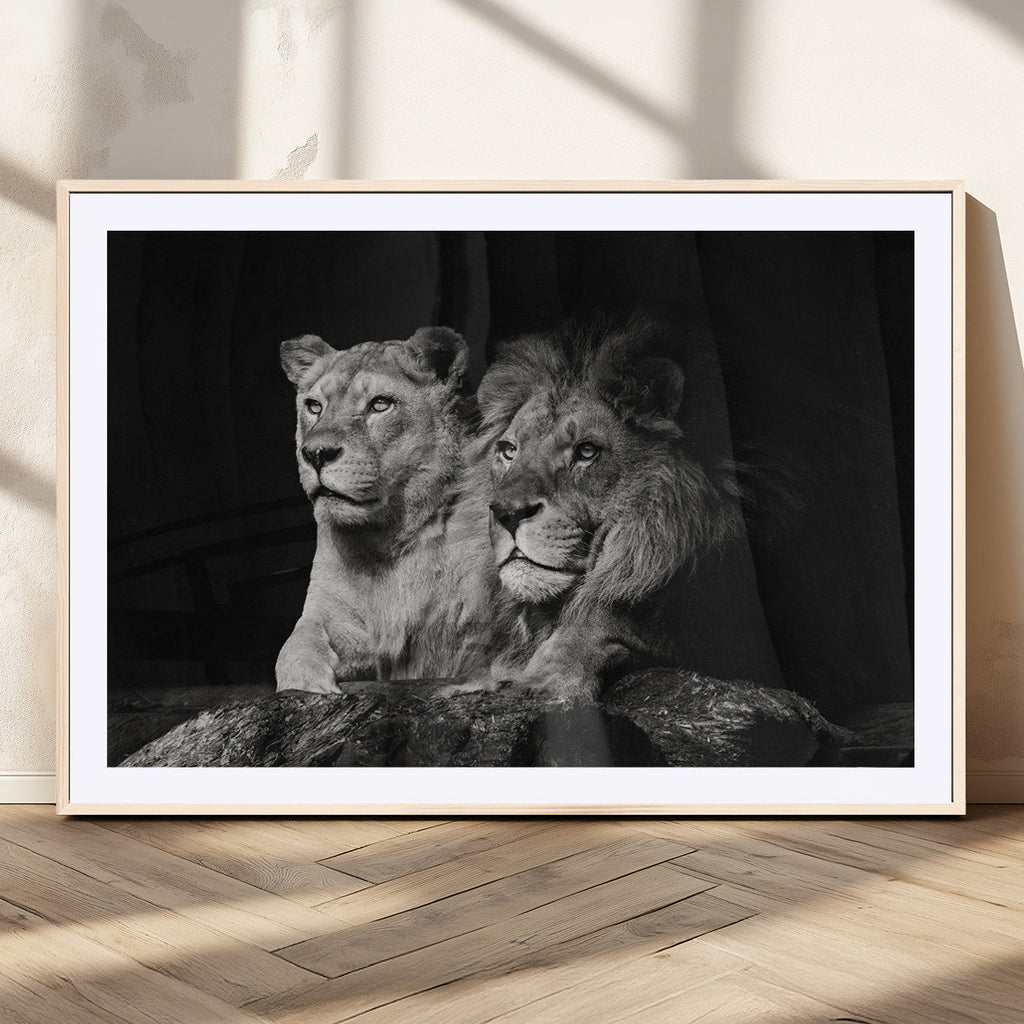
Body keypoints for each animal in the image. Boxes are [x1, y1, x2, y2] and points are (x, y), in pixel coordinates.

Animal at [276, 326, 507, 694]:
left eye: (380, 404)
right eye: (314, 406)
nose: (315, 453)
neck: (389, 537)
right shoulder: (329, 611)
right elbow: (294, 646)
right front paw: (308, 685)